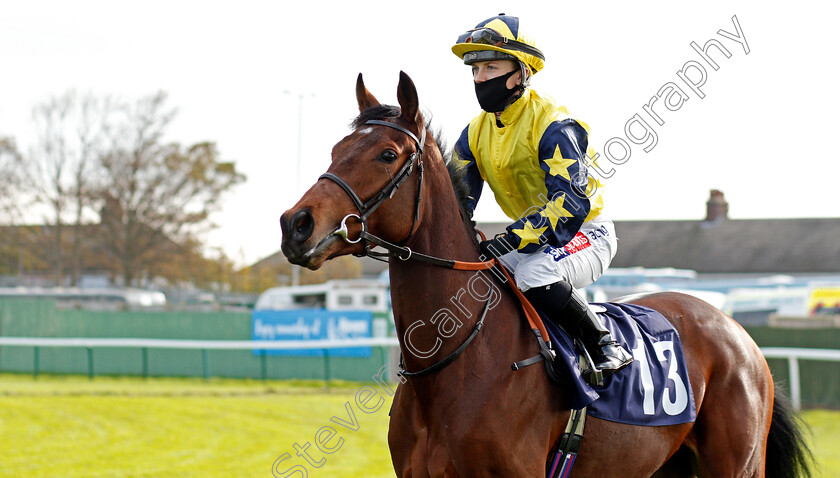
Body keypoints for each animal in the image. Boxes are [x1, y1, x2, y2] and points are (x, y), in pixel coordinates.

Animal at [278, 72, 812, 478]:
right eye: (335, 149)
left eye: (387, 154)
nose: (295, 224)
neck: (455, 363)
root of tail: (740, 335)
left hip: (738, 465)